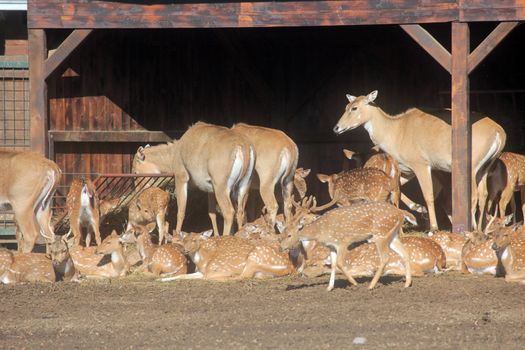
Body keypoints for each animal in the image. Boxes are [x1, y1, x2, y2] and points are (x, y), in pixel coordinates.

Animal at [163, 230, 294, 282]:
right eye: (184, 240)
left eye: (195, 240)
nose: (185, 250)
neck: (204, 261)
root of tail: (289, 267)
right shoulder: (201, 271)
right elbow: (182, 276)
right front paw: (163, 279)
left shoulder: (215, 269)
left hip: (255, 257)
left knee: (243, 276)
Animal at [280, 198, 416, 292]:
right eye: (283, 231)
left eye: (289, 235)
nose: (281, 247)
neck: (322, 232)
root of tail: (401, 213)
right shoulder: (331, 246)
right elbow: (333, 264)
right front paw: (329, 287)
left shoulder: (343, 242)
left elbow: (340, 263)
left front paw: (354, 283)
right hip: (392, 235)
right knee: (405, 253)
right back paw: (407, 284)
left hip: (380, 235)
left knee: (385, 258)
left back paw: (371, 285)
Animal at [334, 91, 506, 231]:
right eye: (346, 106)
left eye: (354, 108)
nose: (336, 128)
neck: (396, 130)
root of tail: (498, 132)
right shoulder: (407, 170)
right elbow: (396, 188)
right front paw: (417, 209)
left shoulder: (421, 166)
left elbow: (428, 195)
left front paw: (433, 228)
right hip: (484, 168)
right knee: (483, 195)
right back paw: (481, 230)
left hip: (471, 167)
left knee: (474, 195)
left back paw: (470, 228)